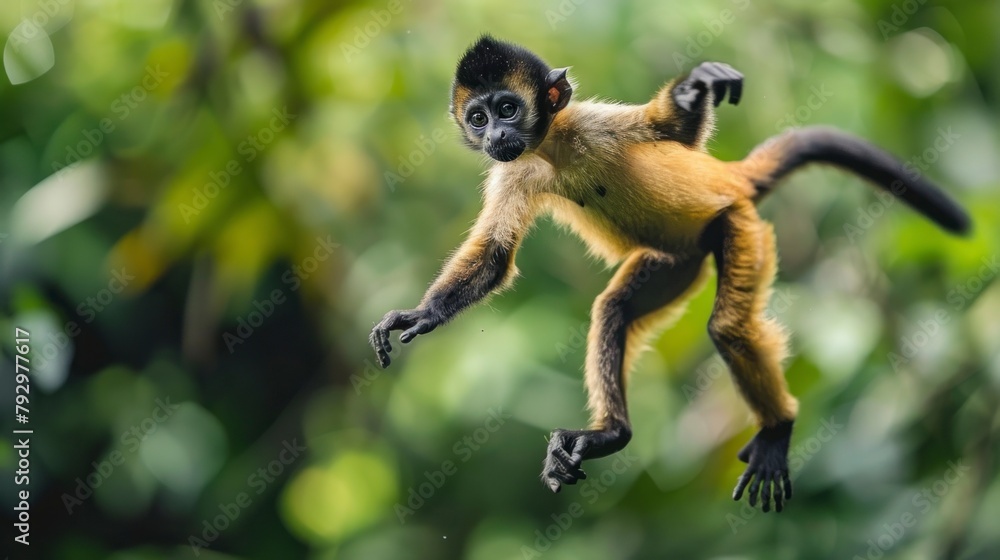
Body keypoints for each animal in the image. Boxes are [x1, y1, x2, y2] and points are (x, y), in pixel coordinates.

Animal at [368, 36, 971, 513]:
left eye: (508, 108)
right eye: (478, 117)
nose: (494, 133)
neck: (554, 148)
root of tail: (731, 181)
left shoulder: (591, 123)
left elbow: (675, 132)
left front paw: (694, 89)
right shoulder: (511, 172)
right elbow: (494, 257)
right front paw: (420, 315)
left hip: (735, 226)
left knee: (727, 327)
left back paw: (776, 428)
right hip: (677, 262)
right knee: (614, 308)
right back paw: (612, 434)